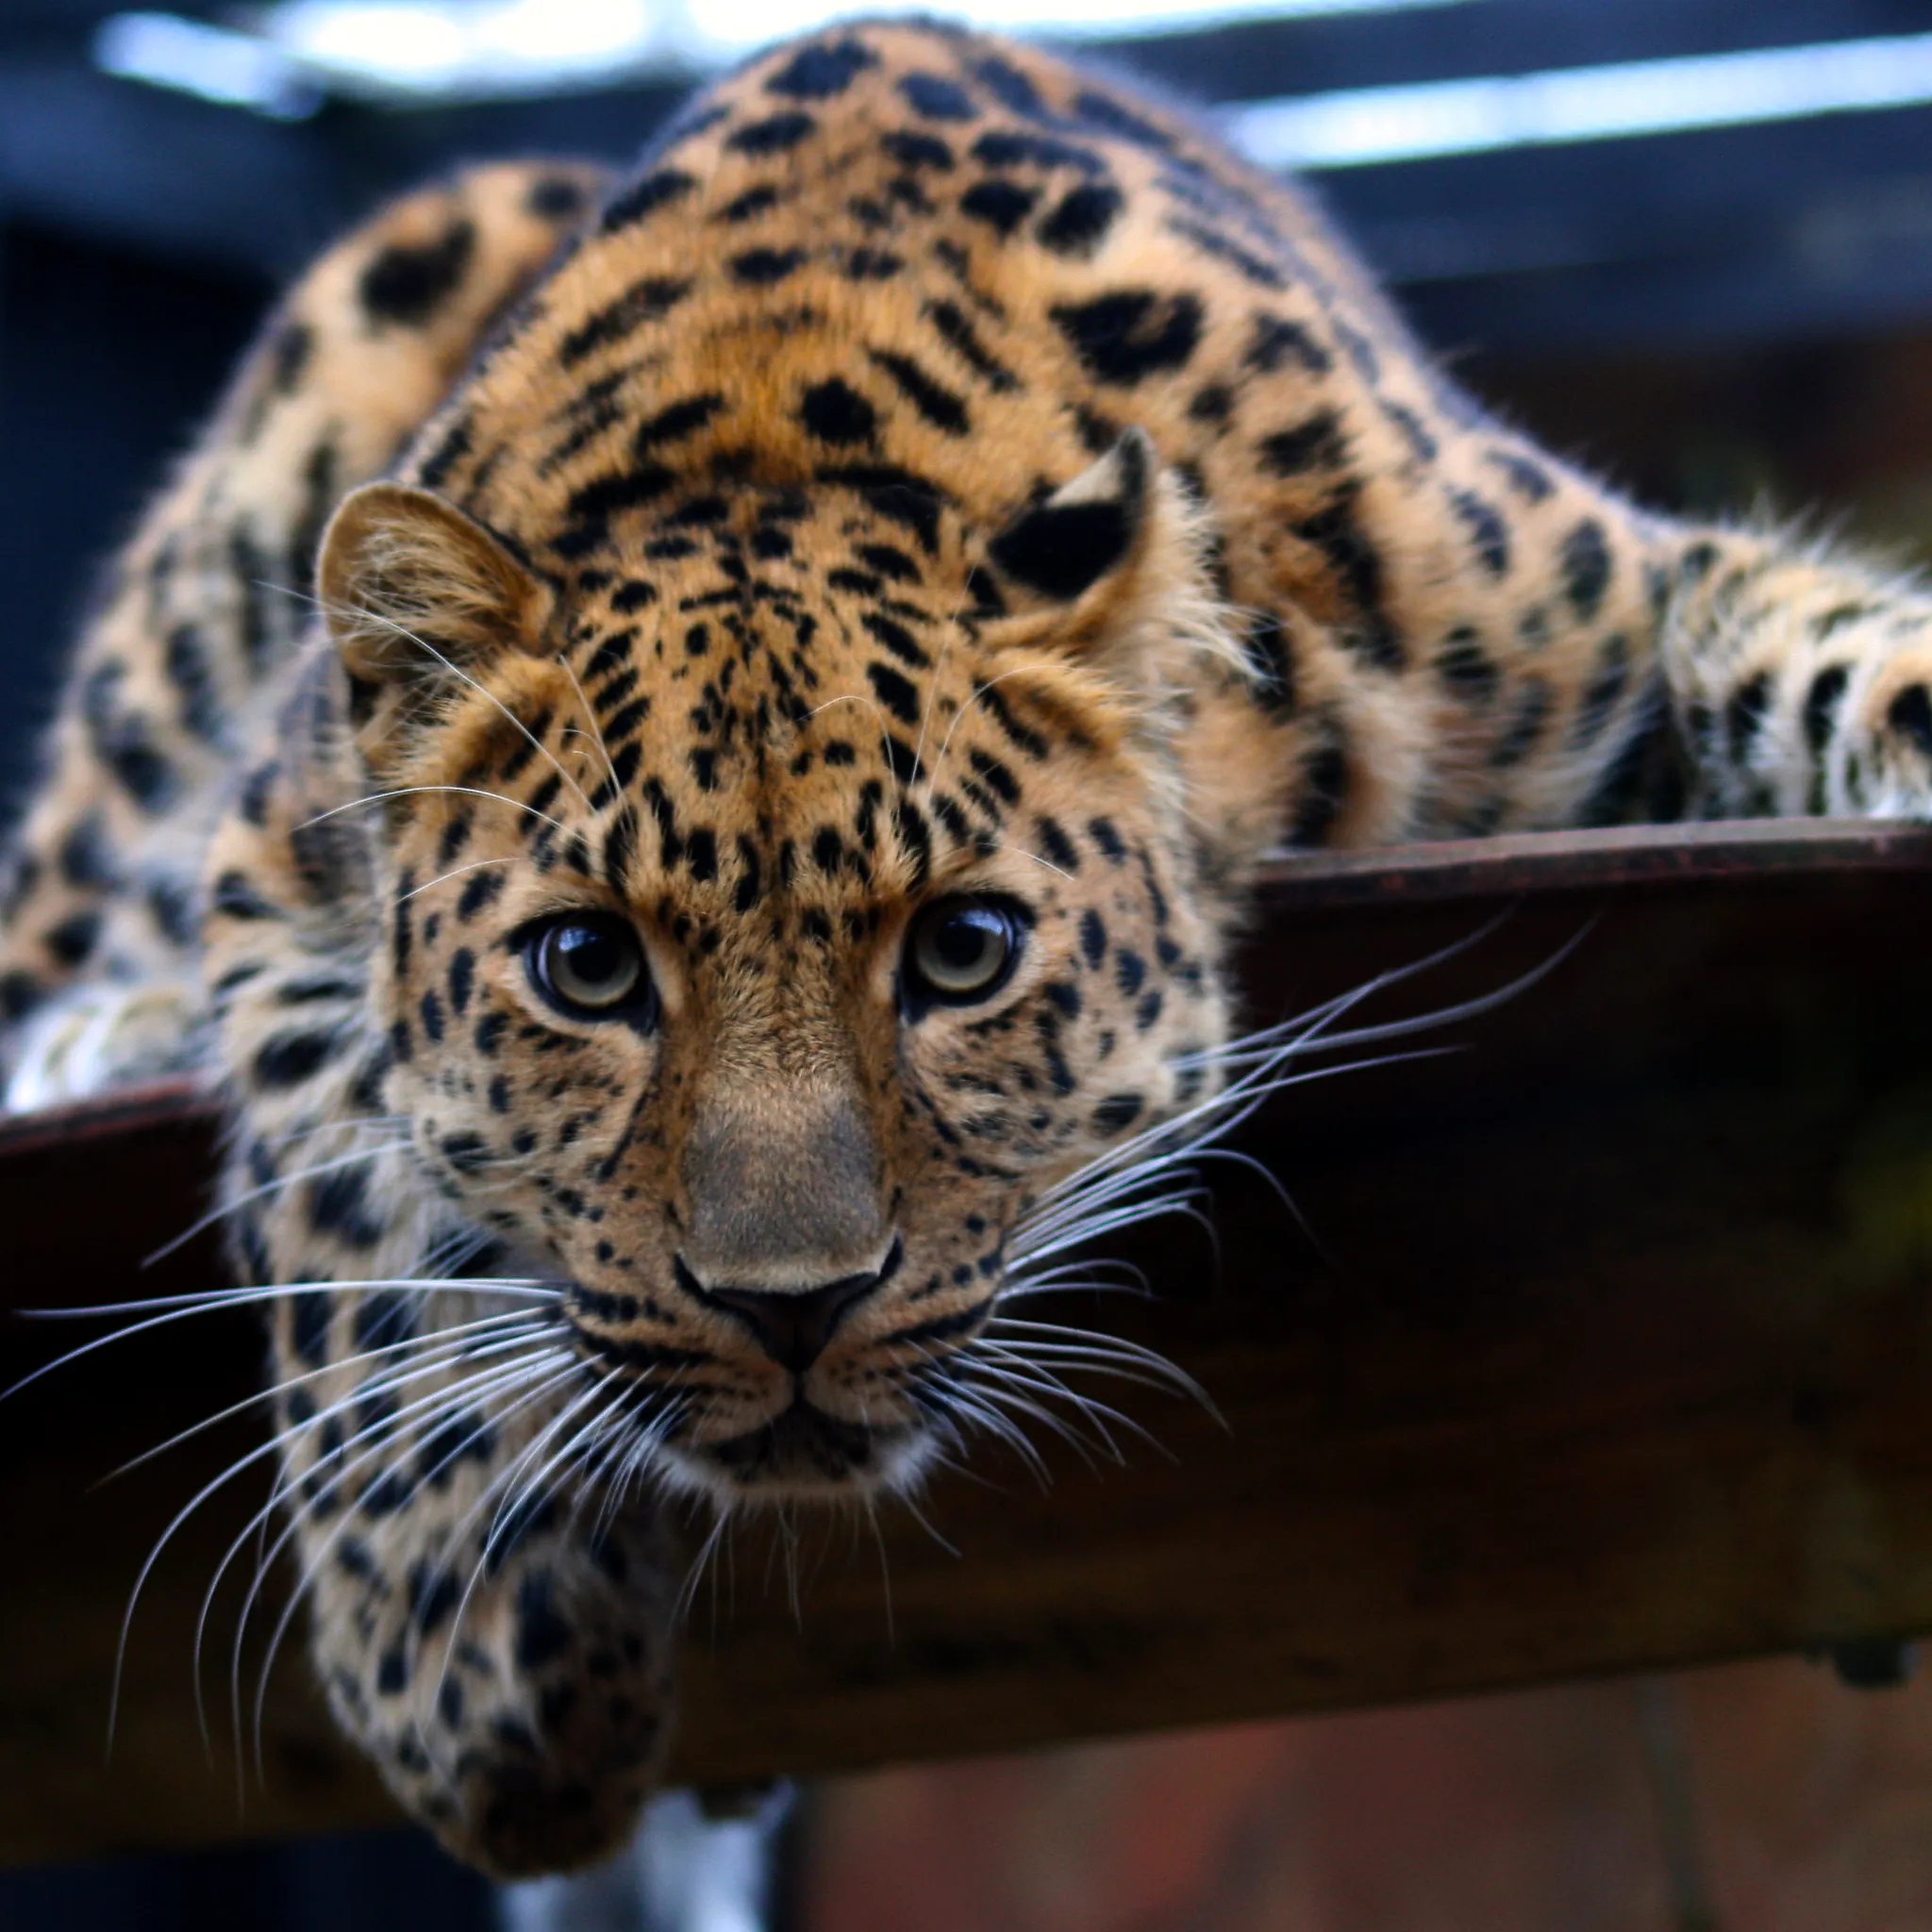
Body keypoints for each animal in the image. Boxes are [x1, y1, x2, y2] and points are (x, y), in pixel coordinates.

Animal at [8, 16, 1932, 1878]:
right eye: (587, 969)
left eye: (962, 951)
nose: (787, 1308)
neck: (772, 421)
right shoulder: (275, 849)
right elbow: (343, 1225)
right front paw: (477, 1684)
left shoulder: (1611, 602)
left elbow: (1839, 656)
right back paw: (103, 1028)